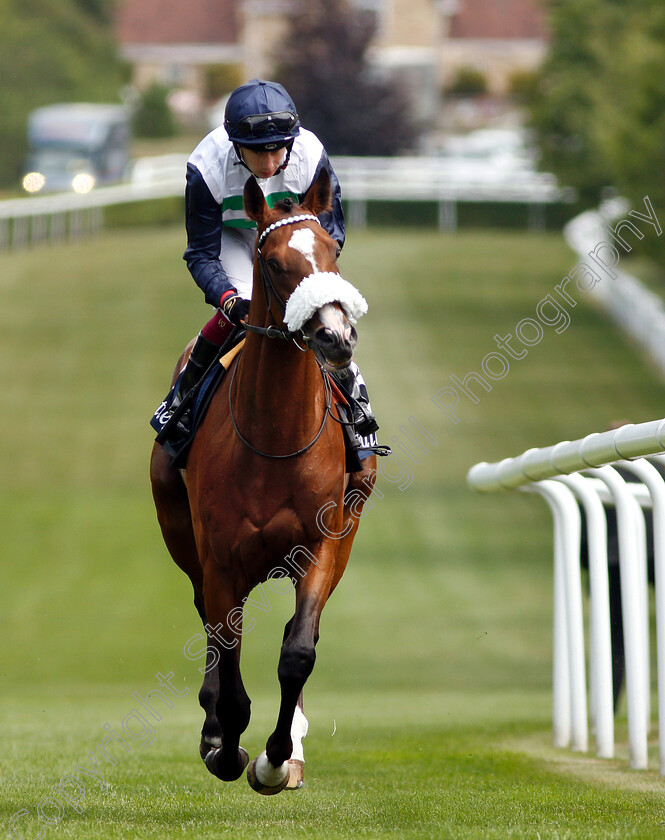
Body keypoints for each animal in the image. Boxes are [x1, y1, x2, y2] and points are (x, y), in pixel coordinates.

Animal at [152, 169, 378, 796]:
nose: (336, 338)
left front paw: (277, 758)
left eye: (332, 253)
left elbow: (298, 651)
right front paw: (226, 747)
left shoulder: (322, 545)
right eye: (273, 262)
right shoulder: (221, 559)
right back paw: (213, 732)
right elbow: (226, 653)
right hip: (183, 538)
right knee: (209, 623)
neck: (275, 440)